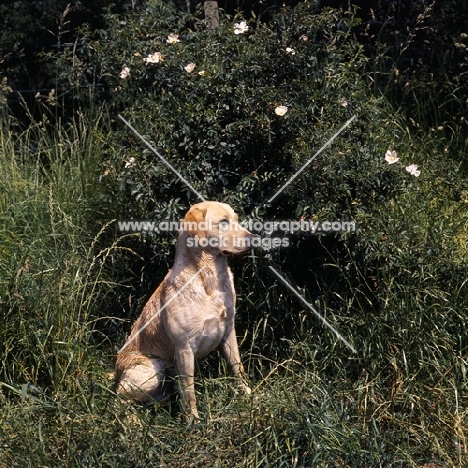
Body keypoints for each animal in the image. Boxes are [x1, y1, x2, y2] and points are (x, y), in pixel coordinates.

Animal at [116, 199, 256, 418]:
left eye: (236, 220)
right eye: (223, 222)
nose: (254, 239)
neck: (209, 280)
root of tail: (114, 372)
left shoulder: (228, 333)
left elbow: (238, 369)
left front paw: (249, 396)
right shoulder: (184, 348)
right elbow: (189, 393)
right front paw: (194, 421)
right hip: (154, 368)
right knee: (118, 399)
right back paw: (132, 421)